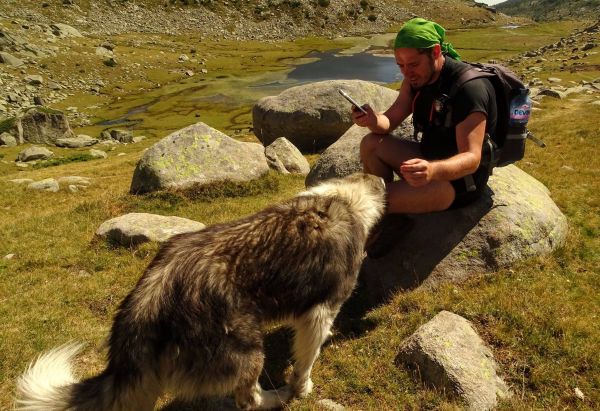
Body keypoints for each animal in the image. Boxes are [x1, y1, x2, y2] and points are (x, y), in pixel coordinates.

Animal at [18, 173, 386, 411]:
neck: (343, 198)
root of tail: (151, 293)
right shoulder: (323, 306)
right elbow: (309, 351)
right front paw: (302, 386)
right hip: (244, 344)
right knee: (247, 397)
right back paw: (275, 397)